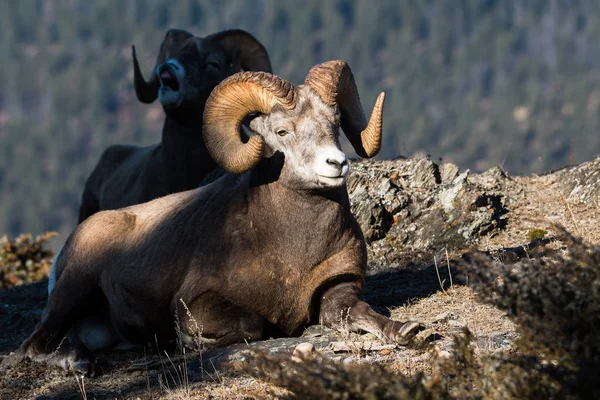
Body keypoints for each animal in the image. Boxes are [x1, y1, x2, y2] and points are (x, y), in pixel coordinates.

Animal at [10, 61, 422, 376]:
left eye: (335, 122)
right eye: (282, 131)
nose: (336, 164)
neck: (293, 255)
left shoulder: (339, 288)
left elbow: (363, 312)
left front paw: (406, 330)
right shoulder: (196, 301)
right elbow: (253, 324)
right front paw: (186, 342)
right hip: (75, 286)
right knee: (33, 344)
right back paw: (78, 364)